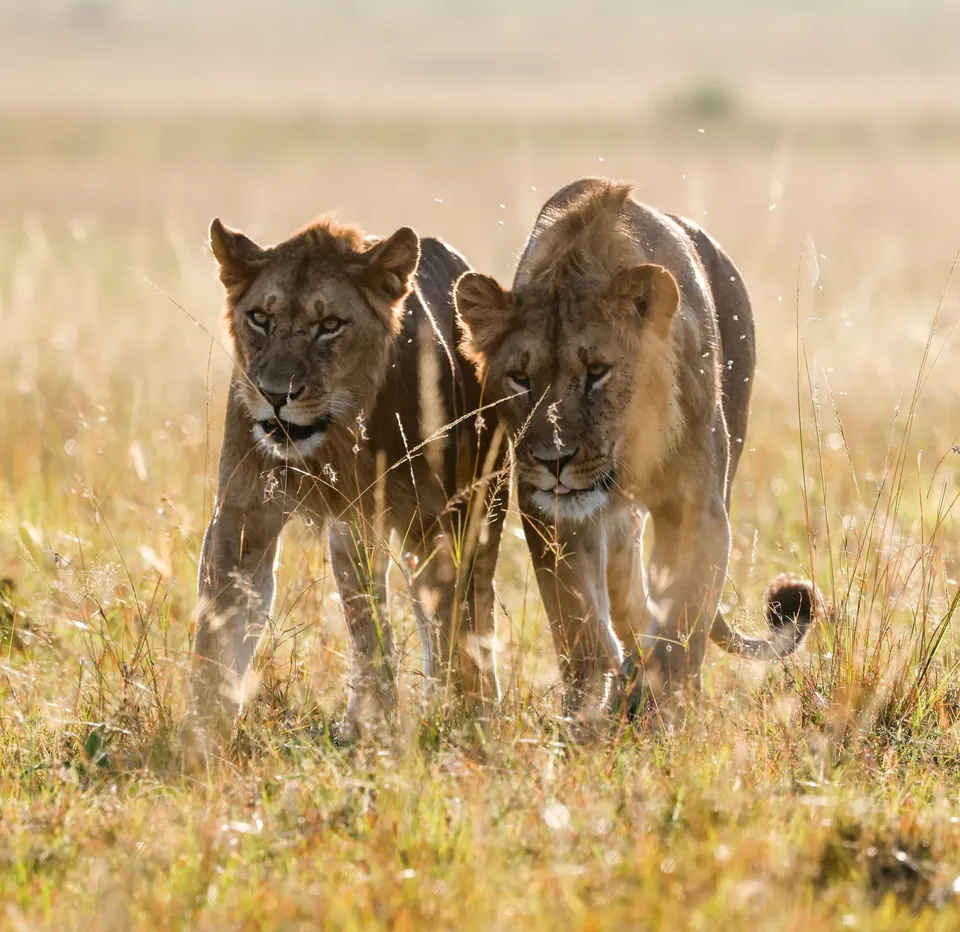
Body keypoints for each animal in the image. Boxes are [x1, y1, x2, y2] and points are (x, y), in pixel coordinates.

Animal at [194, 216, 508, 733]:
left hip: (475, 508)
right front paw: (200, 734)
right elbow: (218, 632)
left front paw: (456, 715)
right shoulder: (243, 515)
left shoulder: (433, 522)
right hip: (355, 533)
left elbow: (447, 624)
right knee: (369, 615)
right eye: (259, 318)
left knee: (469, 605)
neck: (333, 440)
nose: (275, 395)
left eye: (329, 326)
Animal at [454, 178, 818, 722]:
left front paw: (669, 709)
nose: (553, 461)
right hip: (619, 533)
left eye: (597, 371)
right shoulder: (550, 514)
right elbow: (577, 622)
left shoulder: (697, 507)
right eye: (520, 378)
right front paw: (587, 709)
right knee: (627, 597)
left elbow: (685, 619)